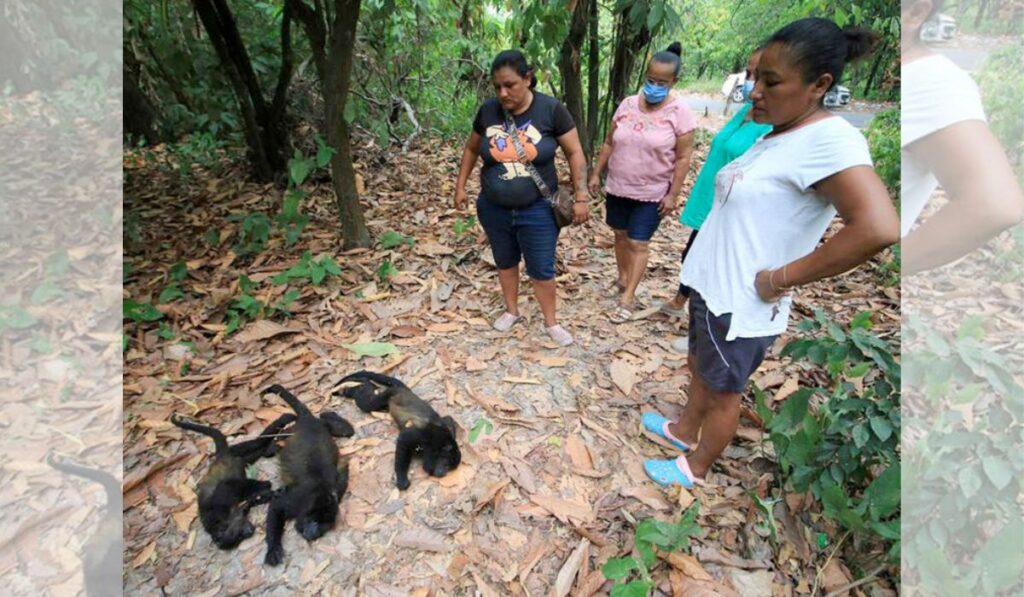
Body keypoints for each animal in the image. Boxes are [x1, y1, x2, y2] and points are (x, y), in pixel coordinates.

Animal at [169, 413, 294, 548]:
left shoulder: (220, 505)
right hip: (237, 457)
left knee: (256, 443)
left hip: (233, 454)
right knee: (251, 455)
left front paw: (267, 485)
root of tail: (220, 457)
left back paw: (283, 422)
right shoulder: (239, 510)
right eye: (239, 539)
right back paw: (270, 448)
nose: (249, 532)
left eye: (238, 535)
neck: (221, 520)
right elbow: (250, 501)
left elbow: (228, 485)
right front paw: (266, 495)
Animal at [262, 385, 354, 569]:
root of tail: (309, 420)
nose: (313, 534)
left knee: (346, 430)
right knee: (282, 437)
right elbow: (276, 507)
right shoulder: (296, 500)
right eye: (316, 522)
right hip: (293, 430)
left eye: (324, 526)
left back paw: (328, 414)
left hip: (324, 426)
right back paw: (272, 445)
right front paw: (273, 549)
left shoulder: (336, 489)